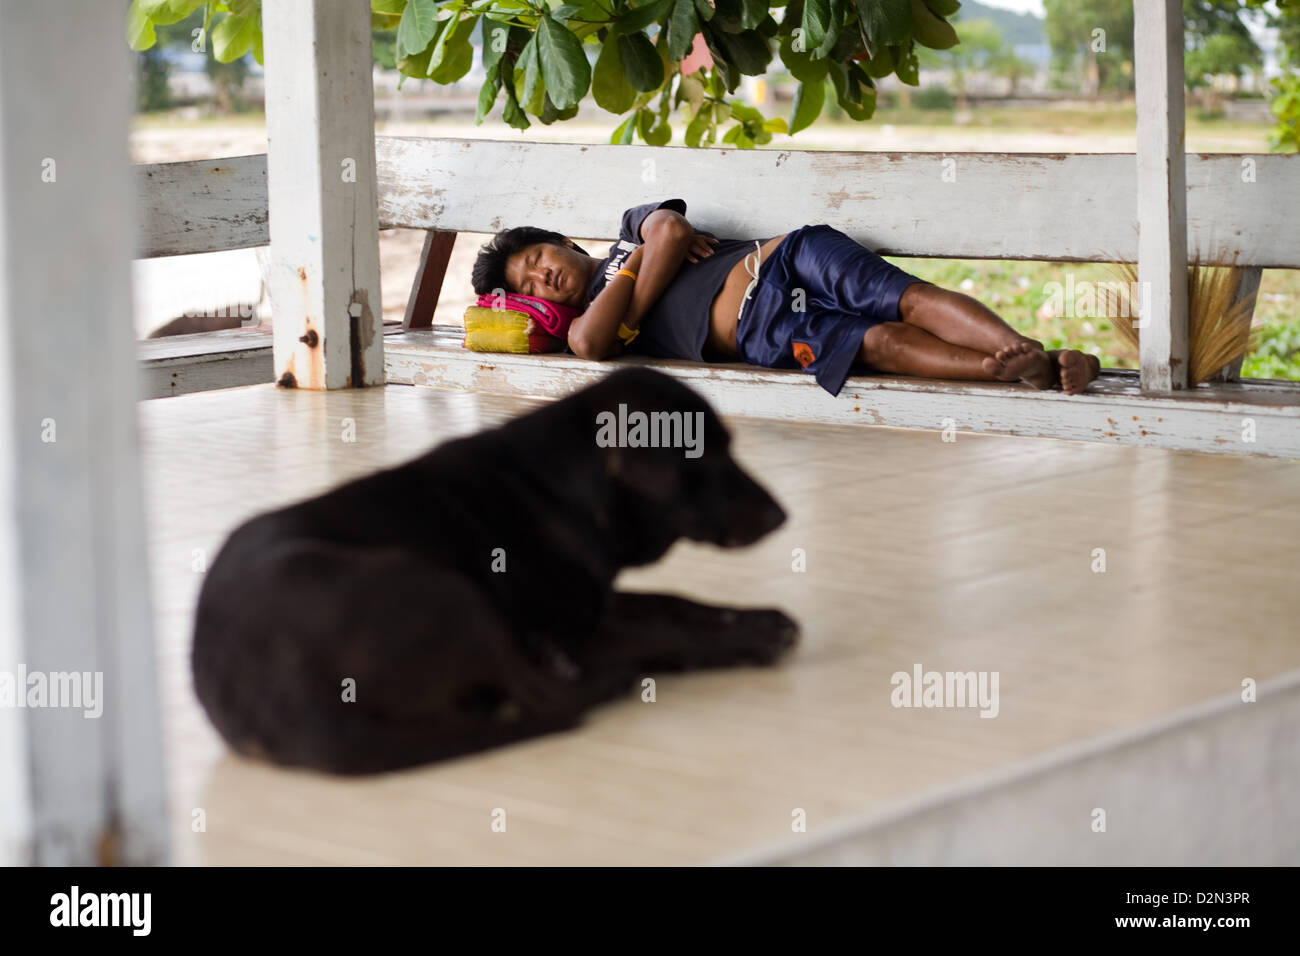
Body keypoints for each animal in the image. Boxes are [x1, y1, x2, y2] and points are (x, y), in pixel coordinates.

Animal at [192, 369, 795, 780]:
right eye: (709, 457)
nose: (782, 514)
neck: (563, 488)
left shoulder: (595, 602)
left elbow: (677, 603)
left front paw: (759, 619)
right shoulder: (575, 628)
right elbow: (665, 630)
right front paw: (752, 640)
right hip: (444, 590)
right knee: (547, 696)